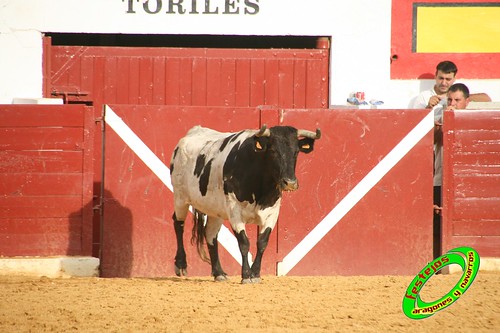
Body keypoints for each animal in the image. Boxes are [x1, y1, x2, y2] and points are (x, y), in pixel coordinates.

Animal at [171, 124, 320, 282]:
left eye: (296, 152)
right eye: (273, 151)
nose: (290, 183)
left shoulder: (272, 212)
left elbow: (262, 242)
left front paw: (255, 273)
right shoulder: (234, 210)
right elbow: (244, 243)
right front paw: (246, 275)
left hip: (215, 210)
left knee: (210, 234)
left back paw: (219, 272)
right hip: (180, 198)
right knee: (178, 224)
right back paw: (181, 265)